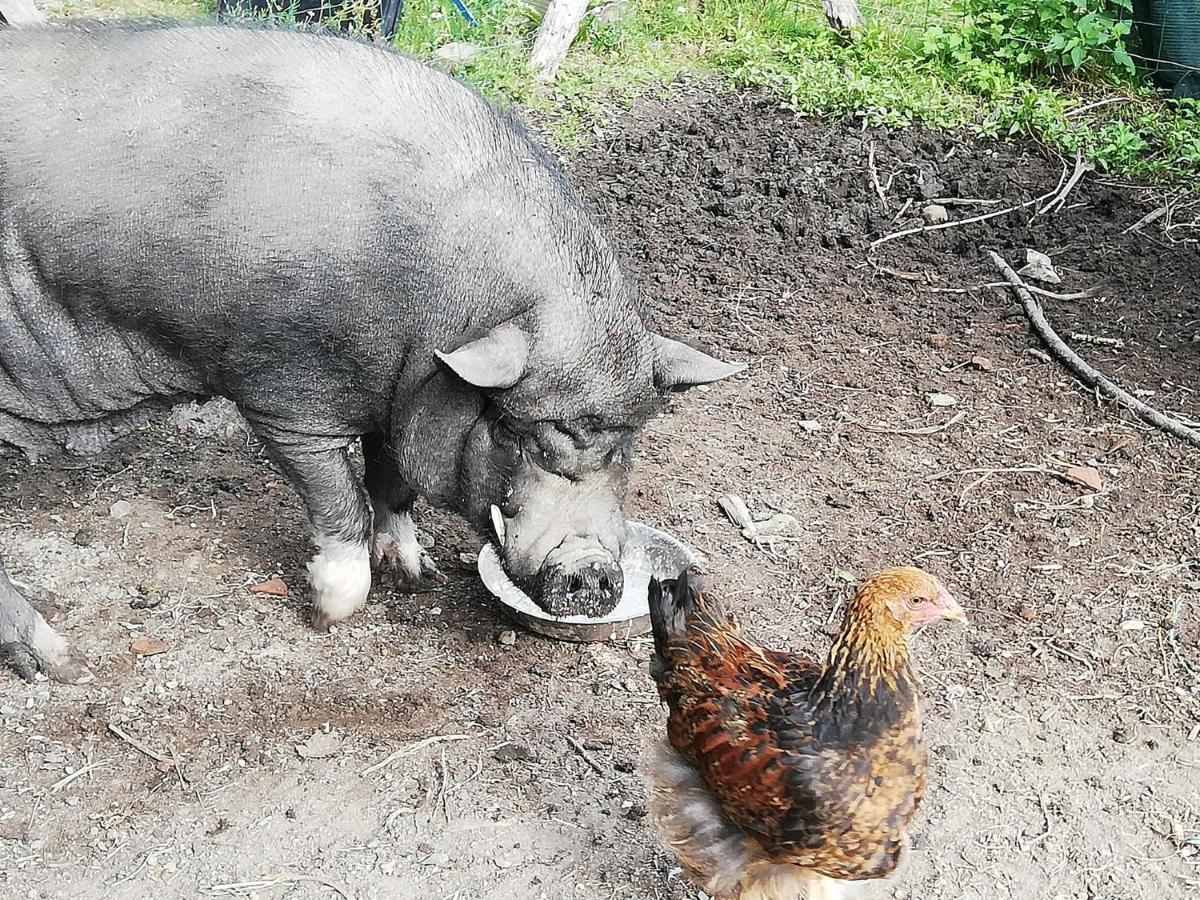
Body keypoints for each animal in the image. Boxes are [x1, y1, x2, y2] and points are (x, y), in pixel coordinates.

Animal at [0, 22, 744, 681]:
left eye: (627, 442)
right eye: (517, 434)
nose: (592, 571)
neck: (435, 304)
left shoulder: (404, 387)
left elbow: (394, 479)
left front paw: (415, 573)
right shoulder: (284, 392)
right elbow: (342, 501)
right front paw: (329, 612)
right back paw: (66, 665)